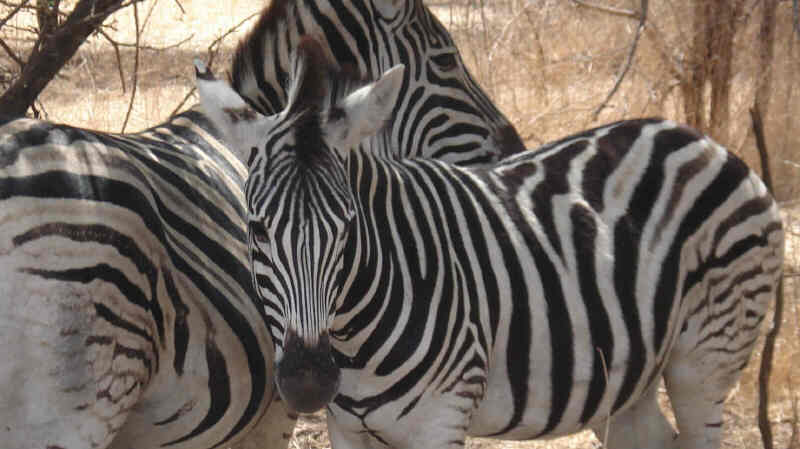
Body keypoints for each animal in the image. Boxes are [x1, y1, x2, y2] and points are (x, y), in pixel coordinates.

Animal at [197, 37, 784, 448]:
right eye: (256, 228)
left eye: (347, 226)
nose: (309, 384)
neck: (353, 340)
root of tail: (706, 143)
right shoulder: (350, 430)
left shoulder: (442, 420)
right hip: (627, 373)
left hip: (706, 356)